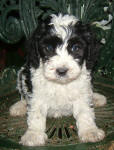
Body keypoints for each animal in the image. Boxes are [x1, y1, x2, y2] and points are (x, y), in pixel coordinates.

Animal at [9, 13, 106, 145]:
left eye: (76, 48)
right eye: (49, 48)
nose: (61, 71)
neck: (61, 84)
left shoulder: (82, 90)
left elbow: (85, 110)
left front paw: (90, 131)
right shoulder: (36, 91)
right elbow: (36, 112)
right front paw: (34, 134)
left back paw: (96, 98)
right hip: (22, 73)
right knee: (23, 95)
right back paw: (19, 107)